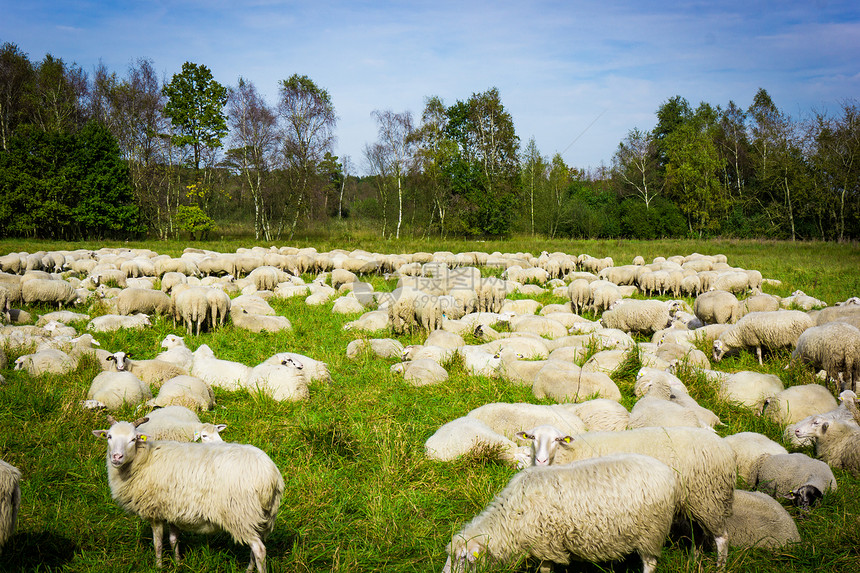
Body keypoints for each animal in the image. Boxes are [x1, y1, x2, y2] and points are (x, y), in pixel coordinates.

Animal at [93, 416, 282, 572]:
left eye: (133, 439)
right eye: (109, 437)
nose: (116, 457)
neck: (144, 459)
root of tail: (269, 474)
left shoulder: (154, 510)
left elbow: (158, 543)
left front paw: (158, 567)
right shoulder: (172, 509)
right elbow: (174, 539)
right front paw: (178, 563)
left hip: (240, 514)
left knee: (259, 549)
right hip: (262, 516)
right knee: (256, 547)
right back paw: (249, 570)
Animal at [444, 454, 680, 572]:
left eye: (463, 560)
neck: (511, 518)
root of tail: (668, 473)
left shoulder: (545, 544)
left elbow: (545, 570)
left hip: (651, 532)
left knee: (650, 564)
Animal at [516, 422, 740, 564]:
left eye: (557, 439)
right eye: (532, 437)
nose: (541, 460)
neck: (570, 453)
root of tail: (727, 449)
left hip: (710, 497)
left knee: (722, 537)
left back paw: (720, 567)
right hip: (696, 501)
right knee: (699, 533)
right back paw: (694, 562)